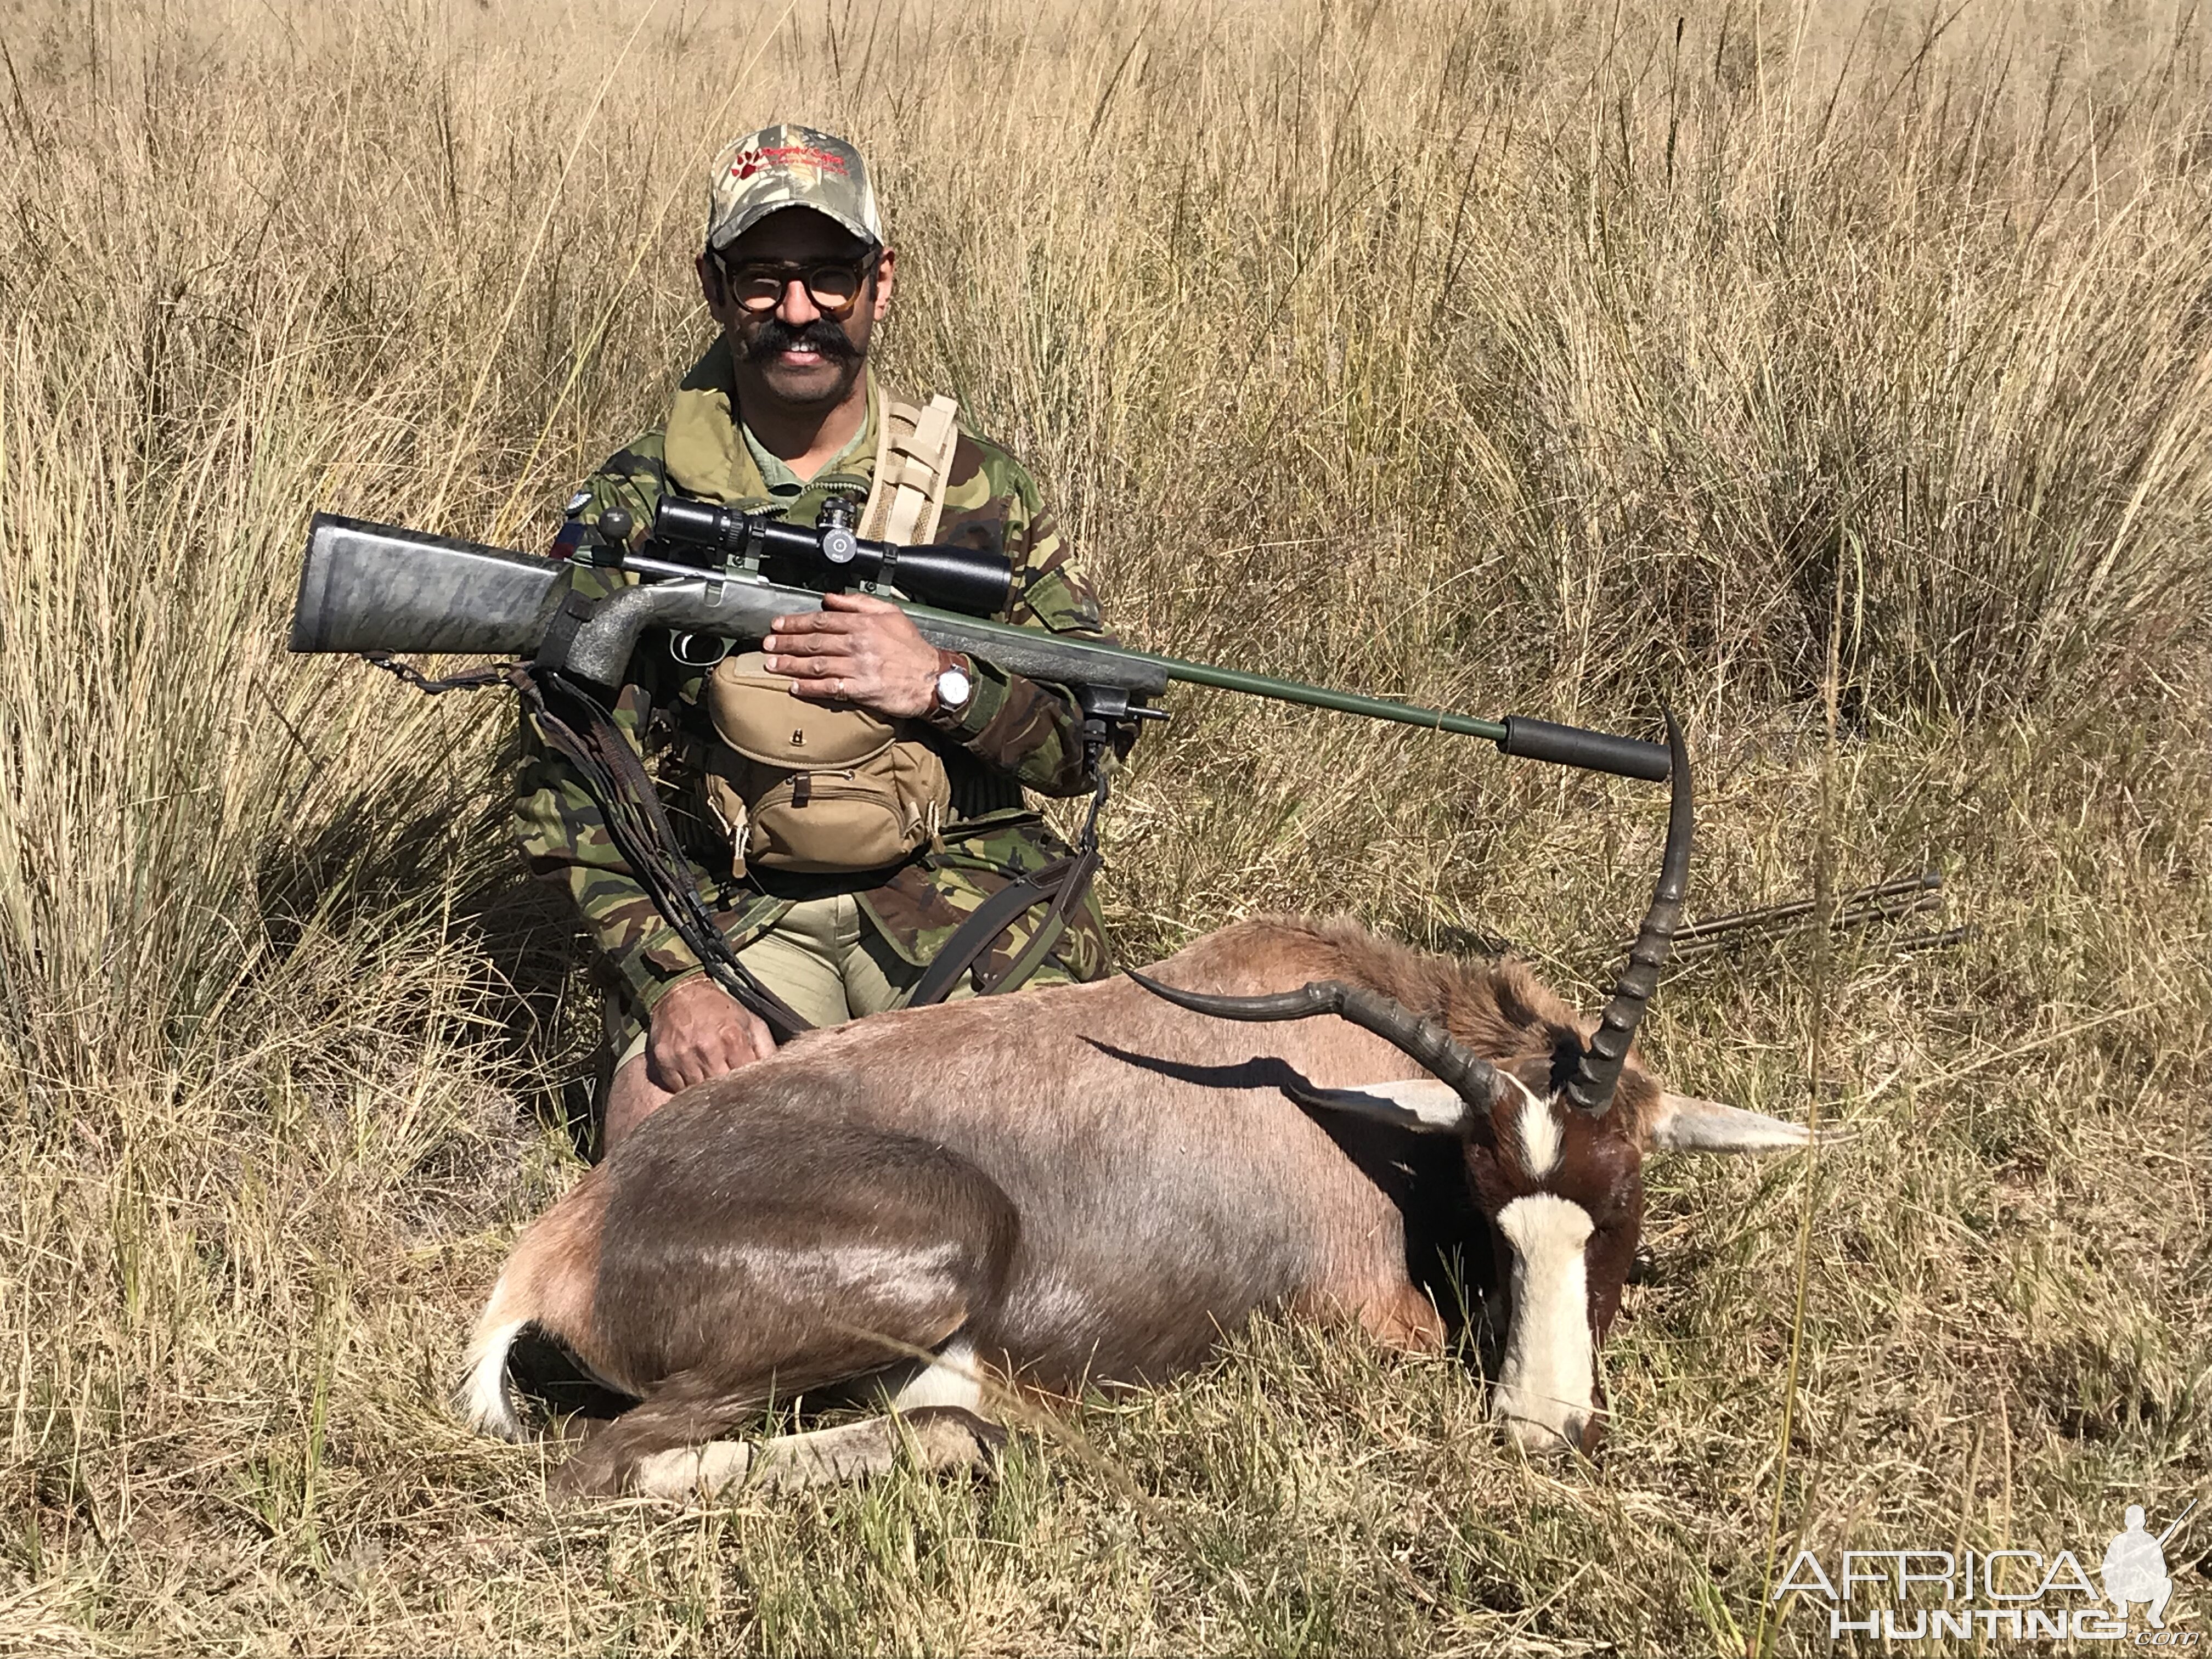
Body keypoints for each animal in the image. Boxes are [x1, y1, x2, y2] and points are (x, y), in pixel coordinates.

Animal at [462, 721, 1814, 1504]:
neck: (1326, 1075)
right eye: (1493, 1205)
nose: (1546, 1430)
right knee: (616, 1467)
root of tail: (562, 1245)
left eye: (1617, 1196)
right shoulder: (1366, 1321)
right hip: (934, 1256)